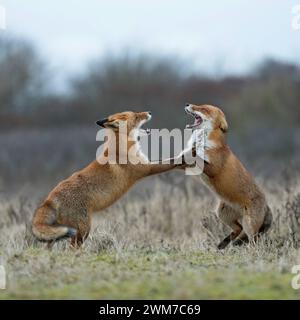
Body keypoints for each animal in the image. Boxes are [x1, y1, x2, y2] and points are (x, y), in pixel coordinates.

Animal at [32, 110, 178, 248]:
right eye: (136, 116)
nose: (149, 112)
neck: (121, 147)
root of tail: (49, 198)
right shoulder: (146, 168)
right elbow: (170, 162)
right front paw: (183, 158)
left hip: (64, 231)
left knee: (48, 244)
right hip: (83, 229)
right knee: (72, 247)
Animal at [182, 104, 274, 249]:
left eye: (204, 109)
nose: (187, 104)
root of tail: (266, 205)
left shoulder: (213, 167)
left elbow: (200, 158)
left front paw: (193, 152)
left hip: (249, 225)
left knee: (253, 240)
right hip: (222, 214)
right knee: (238, 229)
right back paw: (223, 243)